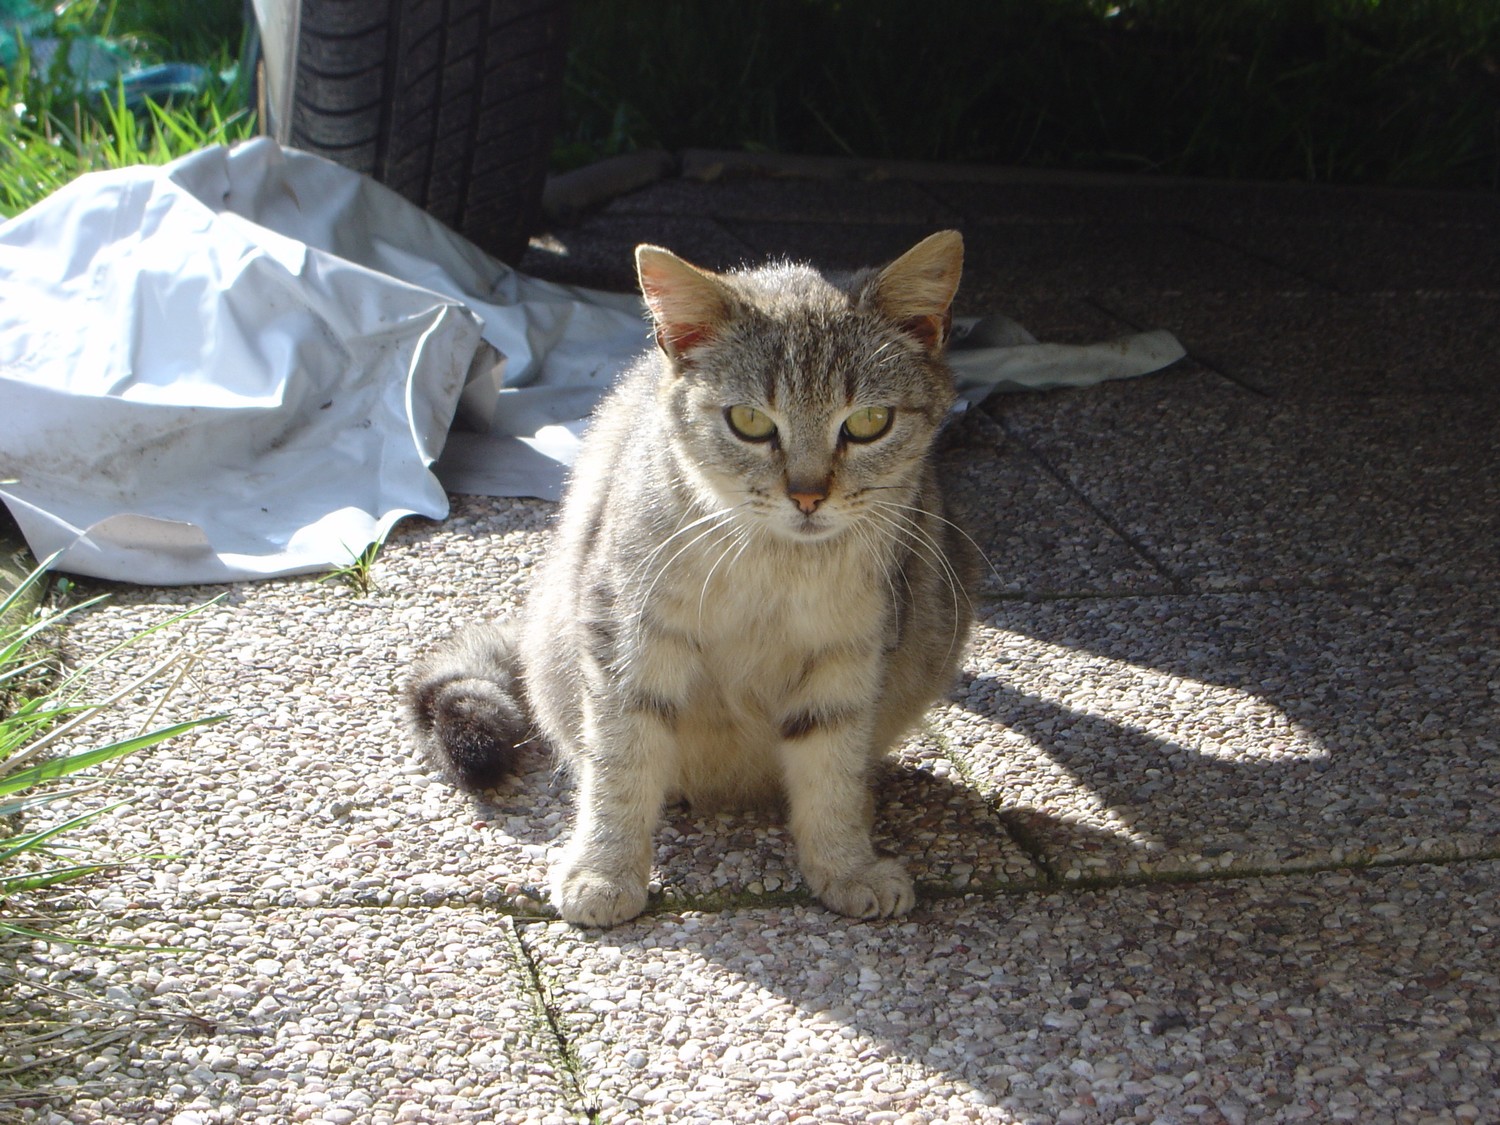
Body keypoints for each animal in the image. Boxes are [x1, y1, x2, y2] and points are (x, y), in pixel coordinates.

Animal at [405, 231, 978, 936]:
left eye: (869, 421)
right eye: (749, 422)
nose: (808, 496)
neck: (774, 566)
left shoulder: (851, 653)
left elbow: (831, 768)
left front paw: (845, 864)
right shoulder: (626, 638)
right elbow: (621, 764)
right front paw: (605, 869)